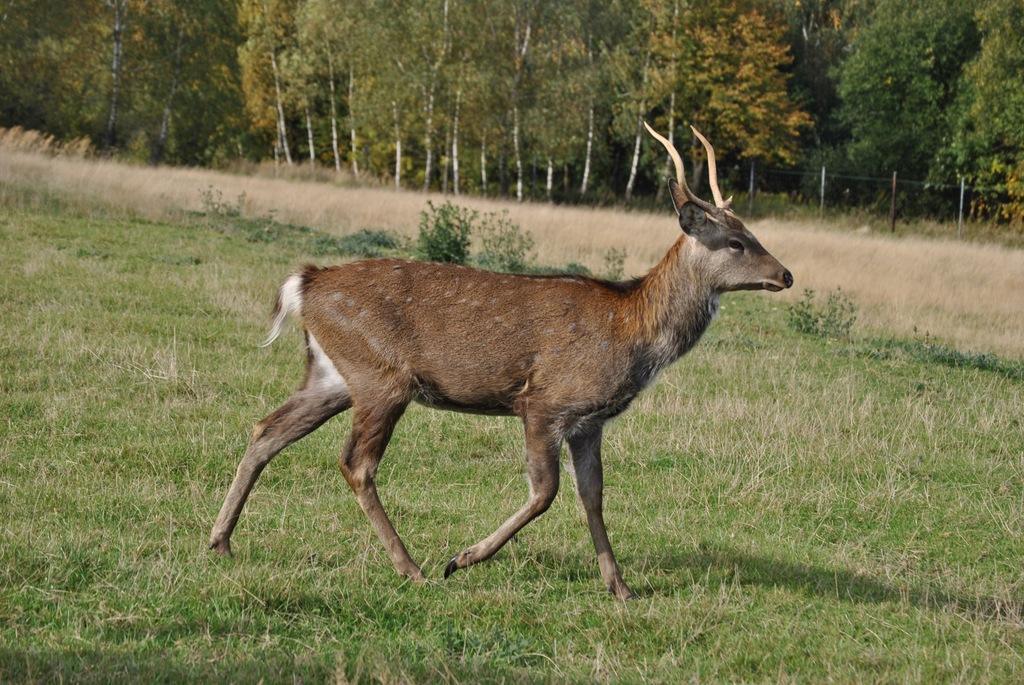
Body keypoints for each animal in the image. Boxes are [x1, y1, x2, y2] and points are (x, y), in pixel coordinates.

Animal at [211, 122, 794, 597]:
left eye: (753, 233)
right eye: (736, 241)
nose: (786, 274)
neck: (631, 332)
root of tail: (305, 284)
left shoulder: (590, 421)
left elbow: (593, 495)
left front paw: (621, 587)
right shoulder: (546, 401)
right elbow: (545, 491)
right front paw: (462, 558)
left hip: (332, 375)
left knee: (267, 430)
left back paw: (220, 541)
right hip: (382, 377)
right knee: (356, 462)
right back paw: (412, 567)